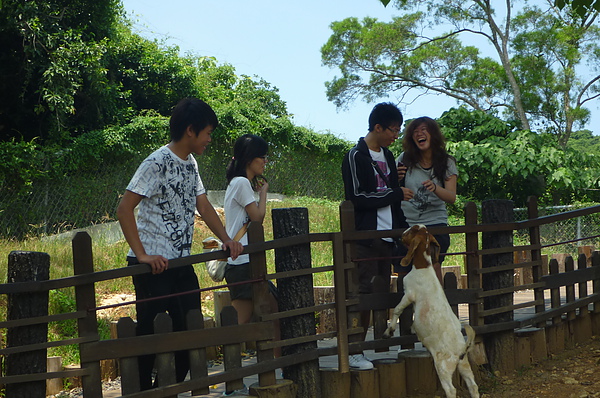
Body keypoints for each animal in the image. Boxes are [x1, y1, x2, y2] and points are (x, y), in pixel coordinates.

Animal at [384, 225, 478, 396]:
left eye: (412, 230)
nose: (401, 234)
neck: (423, 267)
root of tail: (462, 349)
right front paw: (412, 329)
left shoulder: (409, 293)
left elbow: (398, 310)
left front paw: (389, 331)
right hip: (464, 365)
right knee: (473, 386)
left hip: (443, 366)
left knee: (451, 389)